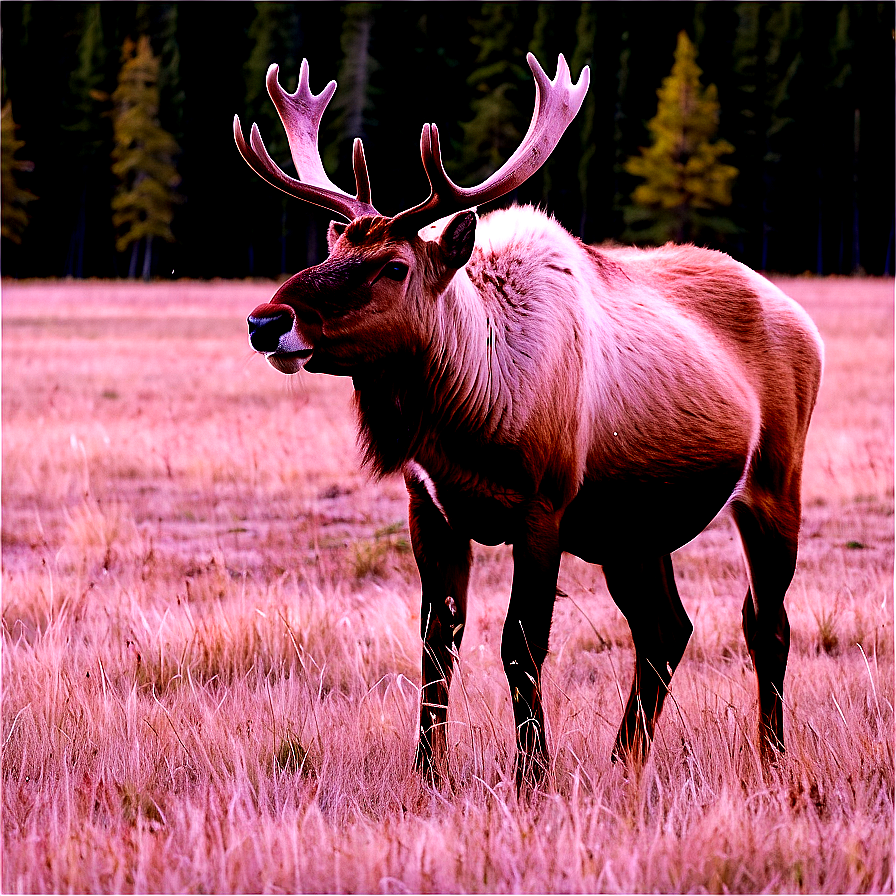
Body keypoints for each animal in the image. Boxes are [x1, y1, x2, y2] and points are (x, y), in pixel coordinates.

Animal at [234, 54, 824, 784]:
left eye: (394, 266)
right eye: (332, 250)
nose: (267, 321)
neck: (469, 424)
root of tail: (804, 323)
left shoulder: (544, 506)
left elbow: (521, 644)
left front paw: (532, 773)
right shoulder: (429, 507)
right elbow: (437, 644)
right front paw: (428, 771)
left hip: (773, 482)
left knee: (766, 623)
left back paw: (769, 757)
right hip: (631, 526)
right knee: (667, 628)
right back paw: (624, 759)